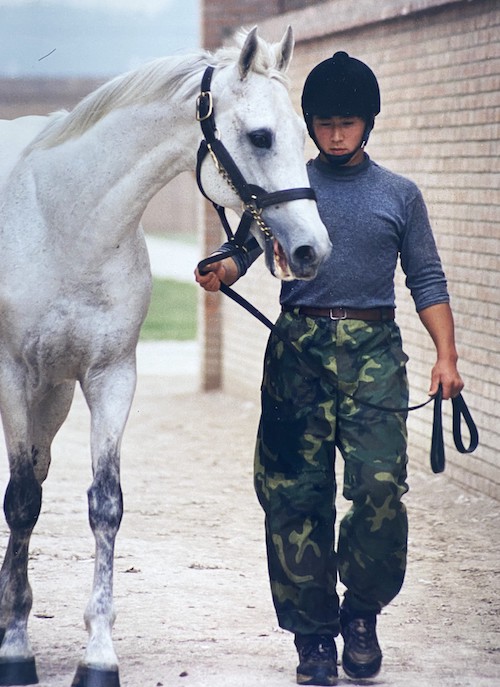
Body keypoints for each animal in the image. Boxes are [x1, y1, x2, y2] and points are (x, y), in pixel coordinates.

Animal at [0, 25, 330, 684]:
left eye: (301, 133)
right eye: (261, 136)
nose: (313, 249)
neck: (64, 222)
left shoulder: (108, 376)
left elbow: (102, 505)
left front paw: (98, 655)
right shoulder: (12, 376)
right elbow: (21, 502)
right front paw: (16, 649)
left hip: (53, 397)